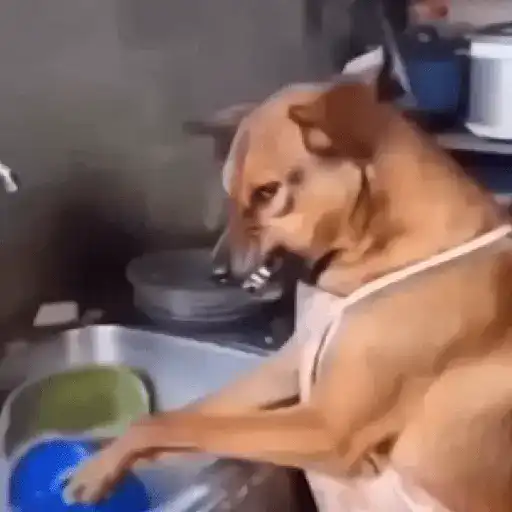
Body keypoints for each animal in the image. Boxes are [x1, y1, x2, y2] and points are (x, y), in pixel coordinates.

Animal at [67, 67, 512, 511]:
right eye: (229, 192)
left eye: (267, 192)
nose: (216, 273)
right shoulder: (287, 366)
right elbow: (179, 416)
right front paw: (109, 458)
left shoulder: (325, 428)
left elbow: (176, 424)